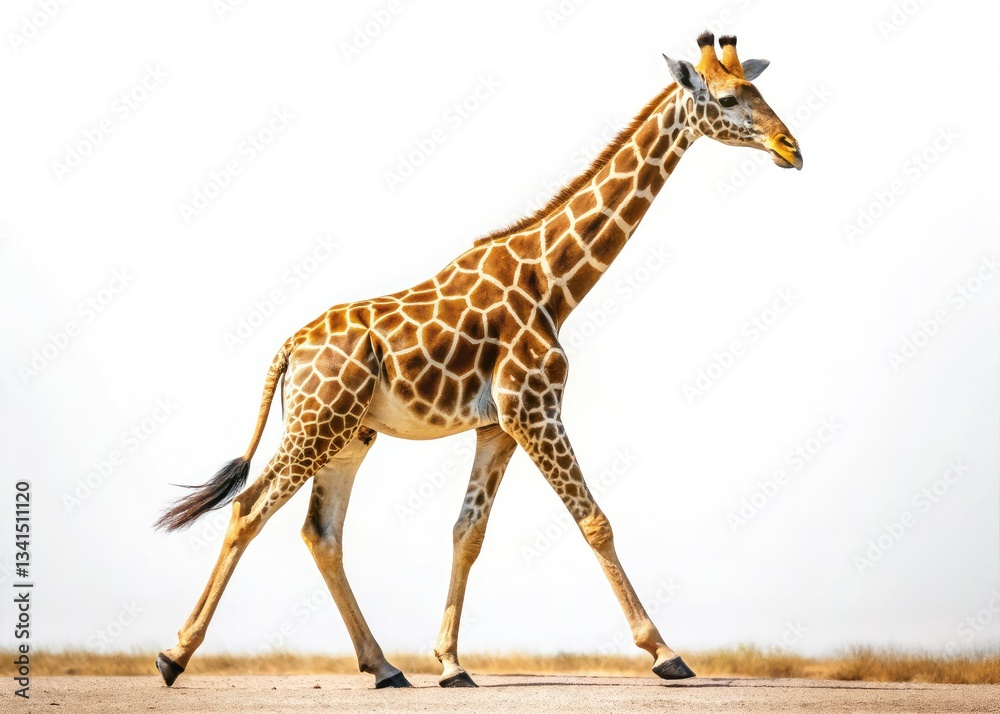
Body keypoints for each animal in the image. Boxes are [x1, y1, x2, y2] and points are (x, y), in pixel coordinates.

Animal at [154, 31, 802, 690]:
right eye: (727, 98)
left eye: (756, 88)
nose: (791, 149)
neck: (553, 282)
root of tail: (289, 347)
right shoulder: (534, 407)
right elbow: (595, 521)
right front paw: (665, 653)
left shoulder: (499, 426)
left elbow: (468, 533)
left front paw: (449, 663)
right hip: (318, 424)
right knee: (248, 509)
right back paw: (174, 655)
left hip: (350, 434)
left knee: (321, 532)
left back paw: (384, 667)